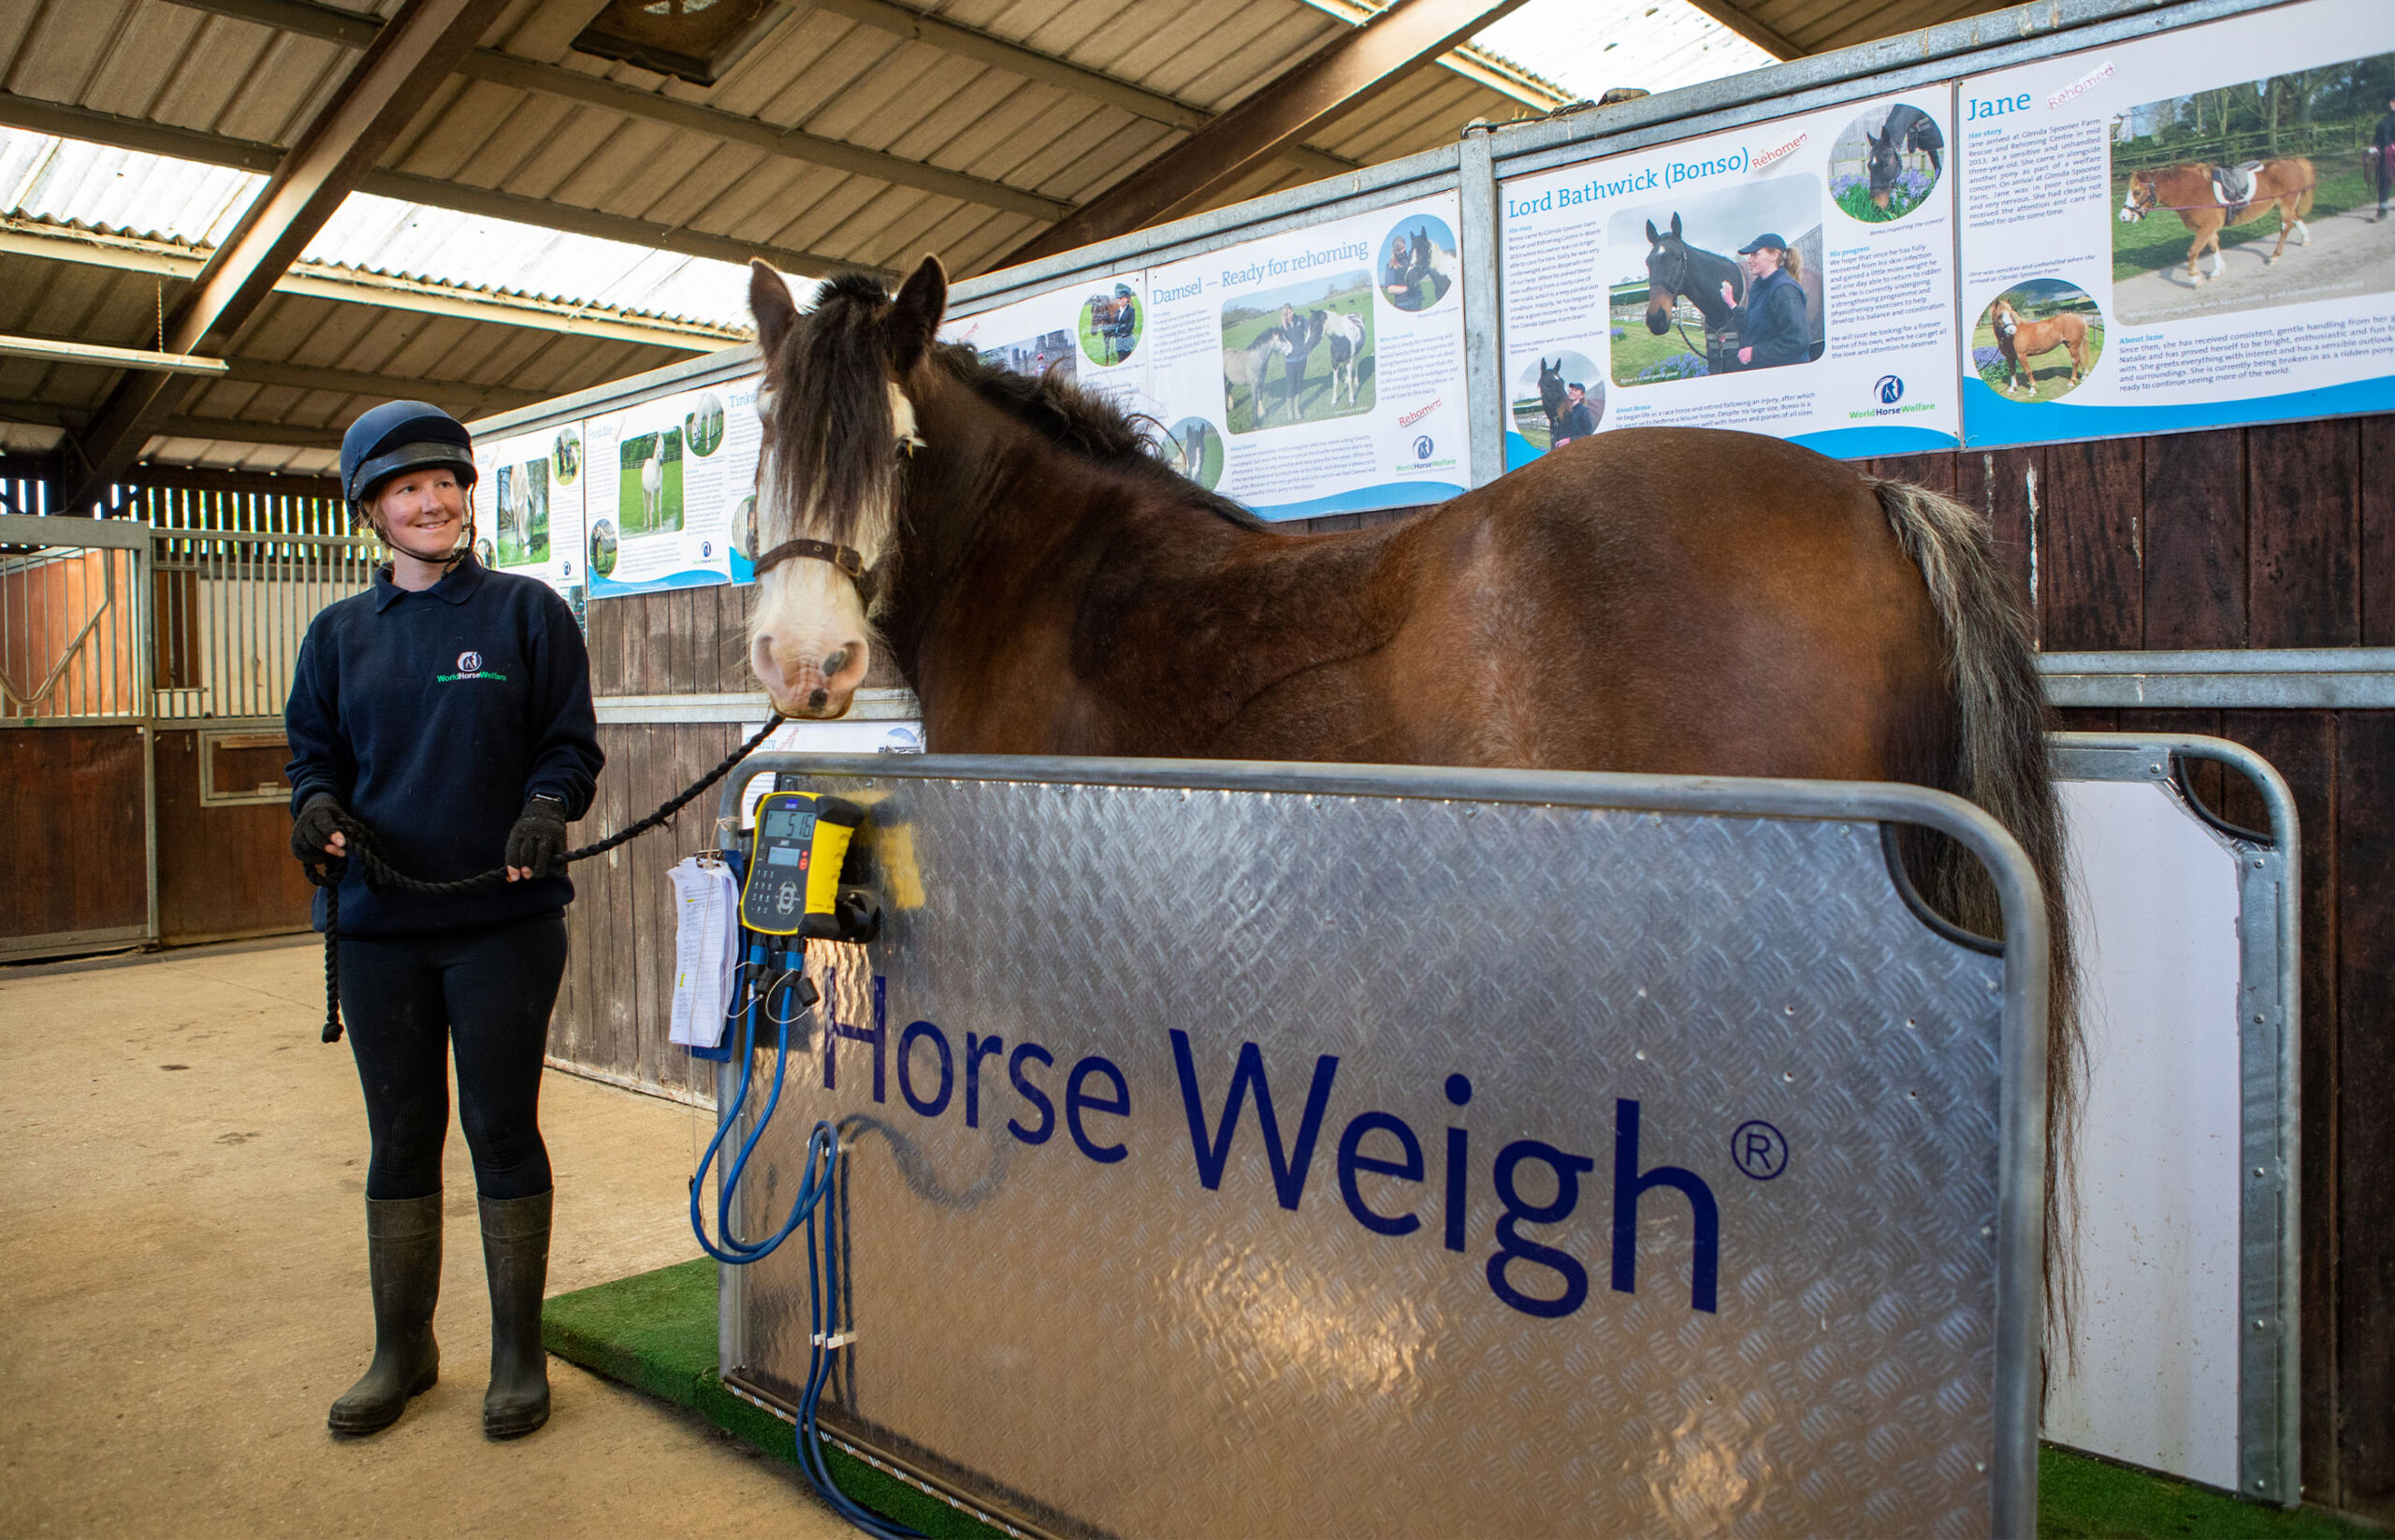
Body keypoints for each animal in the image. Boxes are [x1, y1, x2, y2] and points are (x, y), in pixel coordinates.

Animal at [2120, 158, 2315, 282]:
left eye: (2137, 192)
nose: (2123, 216)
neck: (2191, 189)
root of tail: (2293, 162)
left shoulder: (2206, 227)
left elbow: (2193, 252)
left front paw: (2194, 277)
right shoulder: (2207, 228)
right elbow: (2213, 246)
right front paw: (2218, 270)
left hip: (2285, 204)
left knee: (2285, 227)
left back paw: (2275, 255)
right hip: (2282, 205)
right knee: (2295, 218)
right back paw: (2305, 239)